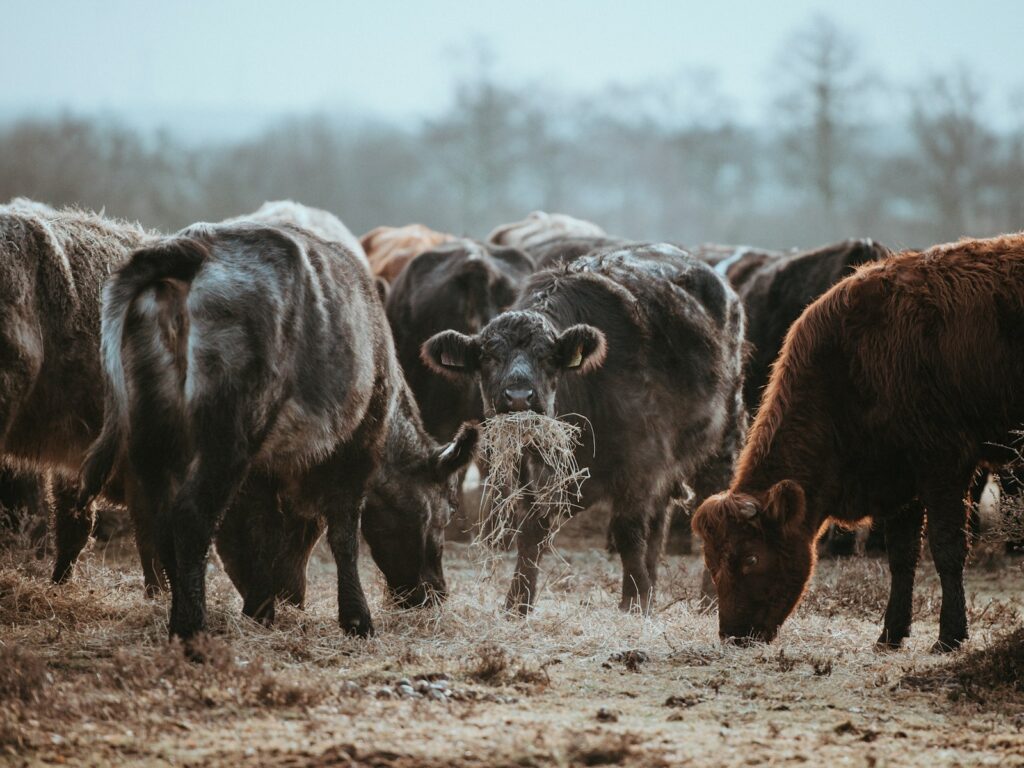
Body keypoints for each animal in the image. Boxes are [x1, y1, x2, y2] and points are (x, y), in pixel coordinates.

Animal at [77, 220, 477, 643]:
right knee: (190, 517)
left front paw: (261, 608)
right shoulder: (356, 447)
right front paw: (356, 619)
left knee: (160, 517)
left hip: (154, 432)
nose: (435, 593)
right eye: (445, 512)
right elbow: (343, 534)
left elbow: (264, 531)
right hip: (229, 434)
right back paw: (191, 627)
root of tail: (194, 248)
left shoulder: (263, 470)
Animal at [422, 243, 746, 615]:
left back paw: (708, 599)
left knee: (710, 501)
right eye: (489, 357)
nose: (519, 396)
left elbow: (627, 532)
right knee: (658, 519)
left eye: (548, 357)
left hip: (722, 436)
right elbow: (532, 530)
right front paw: (517, 603)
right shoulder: (533, 472)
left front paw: (633, 599)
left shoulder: (639, 465)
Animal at [692, 233, 1024, 652]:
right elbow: (902, 557)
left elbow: (947, 549)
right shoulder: (901, 480)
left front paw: (949, 636)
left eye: (750, 558)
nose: (735, 635)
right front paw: (890, 634)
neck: (854, 360)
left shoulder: (945, 468)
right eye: (712, 562)